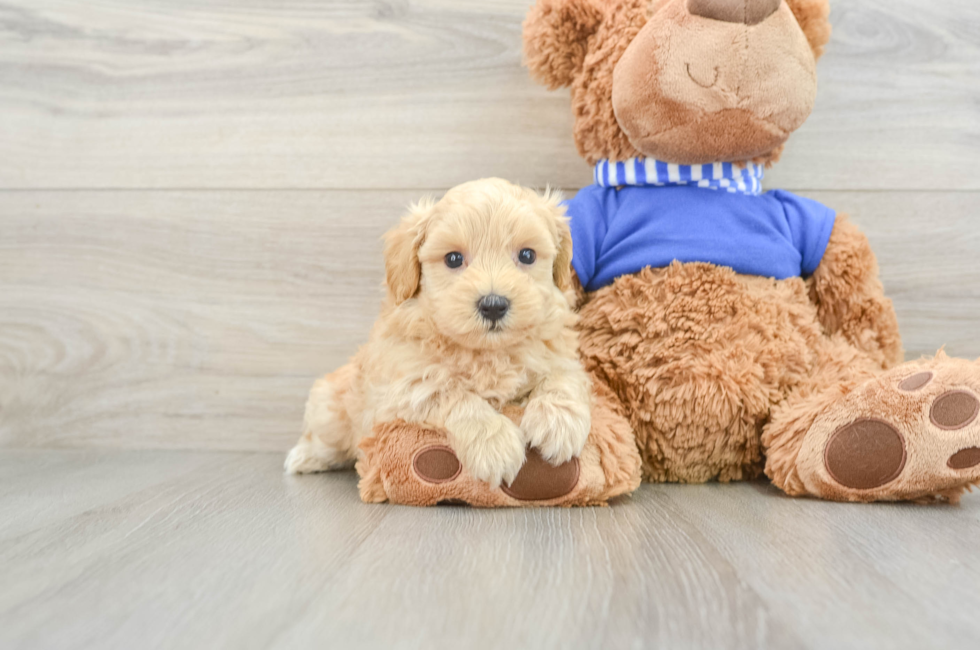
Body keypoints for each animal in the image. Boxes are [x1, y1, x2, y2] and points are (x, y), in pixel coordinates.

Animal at [284, 177, 588, 486]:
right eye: (453, 259)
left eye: (527, 255)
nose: (493, 305)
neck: (488, 352)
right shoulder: (407, 386)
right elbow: (454, 394)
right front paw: (494, 444)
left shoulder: (560, 356)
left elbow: (562, 377)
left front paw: (558, 422)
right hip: (331, 408)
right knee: (326, 438)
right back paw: (304, 457)